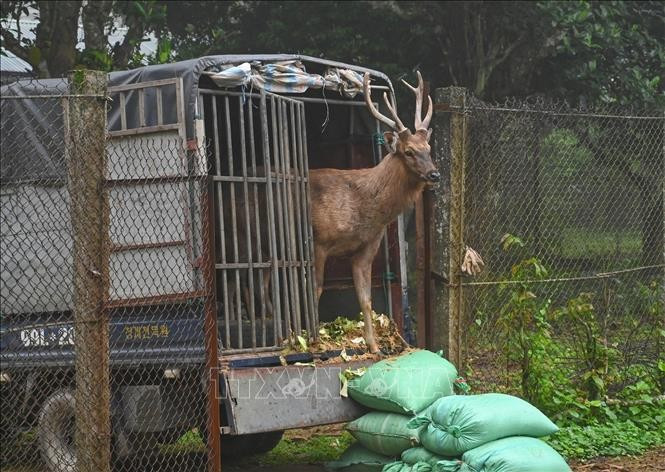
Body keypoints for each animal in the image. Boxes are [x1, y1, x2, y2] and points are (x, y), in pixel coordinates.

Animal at [309, 71, 439, 354]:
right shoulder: (319, 241)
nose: (434, 174)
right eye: (408, 151)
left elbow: (366, 298)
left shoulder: (367, 247)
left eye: (429, 147)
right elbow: (316, 289)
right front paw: (314, 342)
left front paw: (374, 345)